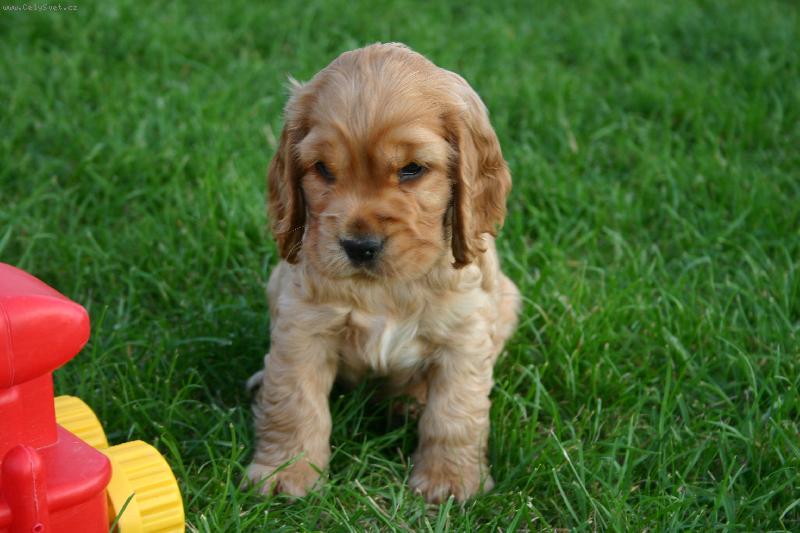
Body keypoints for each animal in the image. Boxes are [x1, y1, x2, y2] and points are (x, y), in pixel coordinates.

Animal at [245, 42, 520, 503]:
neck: (387, 291)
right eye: (323, 169)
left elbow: (455, 414)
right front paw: (286, 472)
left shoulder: (465, 337)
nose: (359, 246)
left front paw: (449, 481)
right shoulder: (302, 327)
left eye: (412, 168)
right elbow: (294, 401)